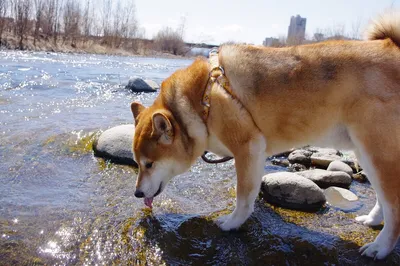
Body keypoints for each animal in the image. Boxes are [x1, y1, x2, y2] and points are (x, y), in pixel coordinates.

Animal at [131, 13, 400, 260]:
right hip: (366, 153)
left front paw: (233, 223)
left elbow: (243, 195)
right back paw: (372, 220)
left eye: (149, 164)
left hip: (378, 153)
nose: (137, 194)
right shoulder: (255, 154)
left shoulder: (247, 148)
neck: (202, 102)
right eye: (138, 164)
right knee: (382, 200)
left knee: (394, 209)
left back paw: (380, 247)